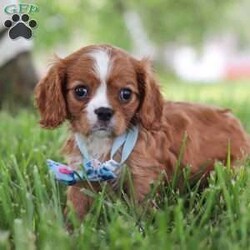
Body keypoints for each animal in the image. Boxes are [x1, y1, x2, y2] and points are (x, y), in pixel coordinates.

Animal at [35, 44, 250, 221]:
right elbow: (77, 205)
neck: (105, 143)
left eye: (126, 94)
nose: (104, 112)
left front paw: (140, 228)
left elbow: (141, 207)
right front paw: (72, 230)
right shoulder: (81, 172)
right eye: (80, 91)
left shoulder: (143, 173)